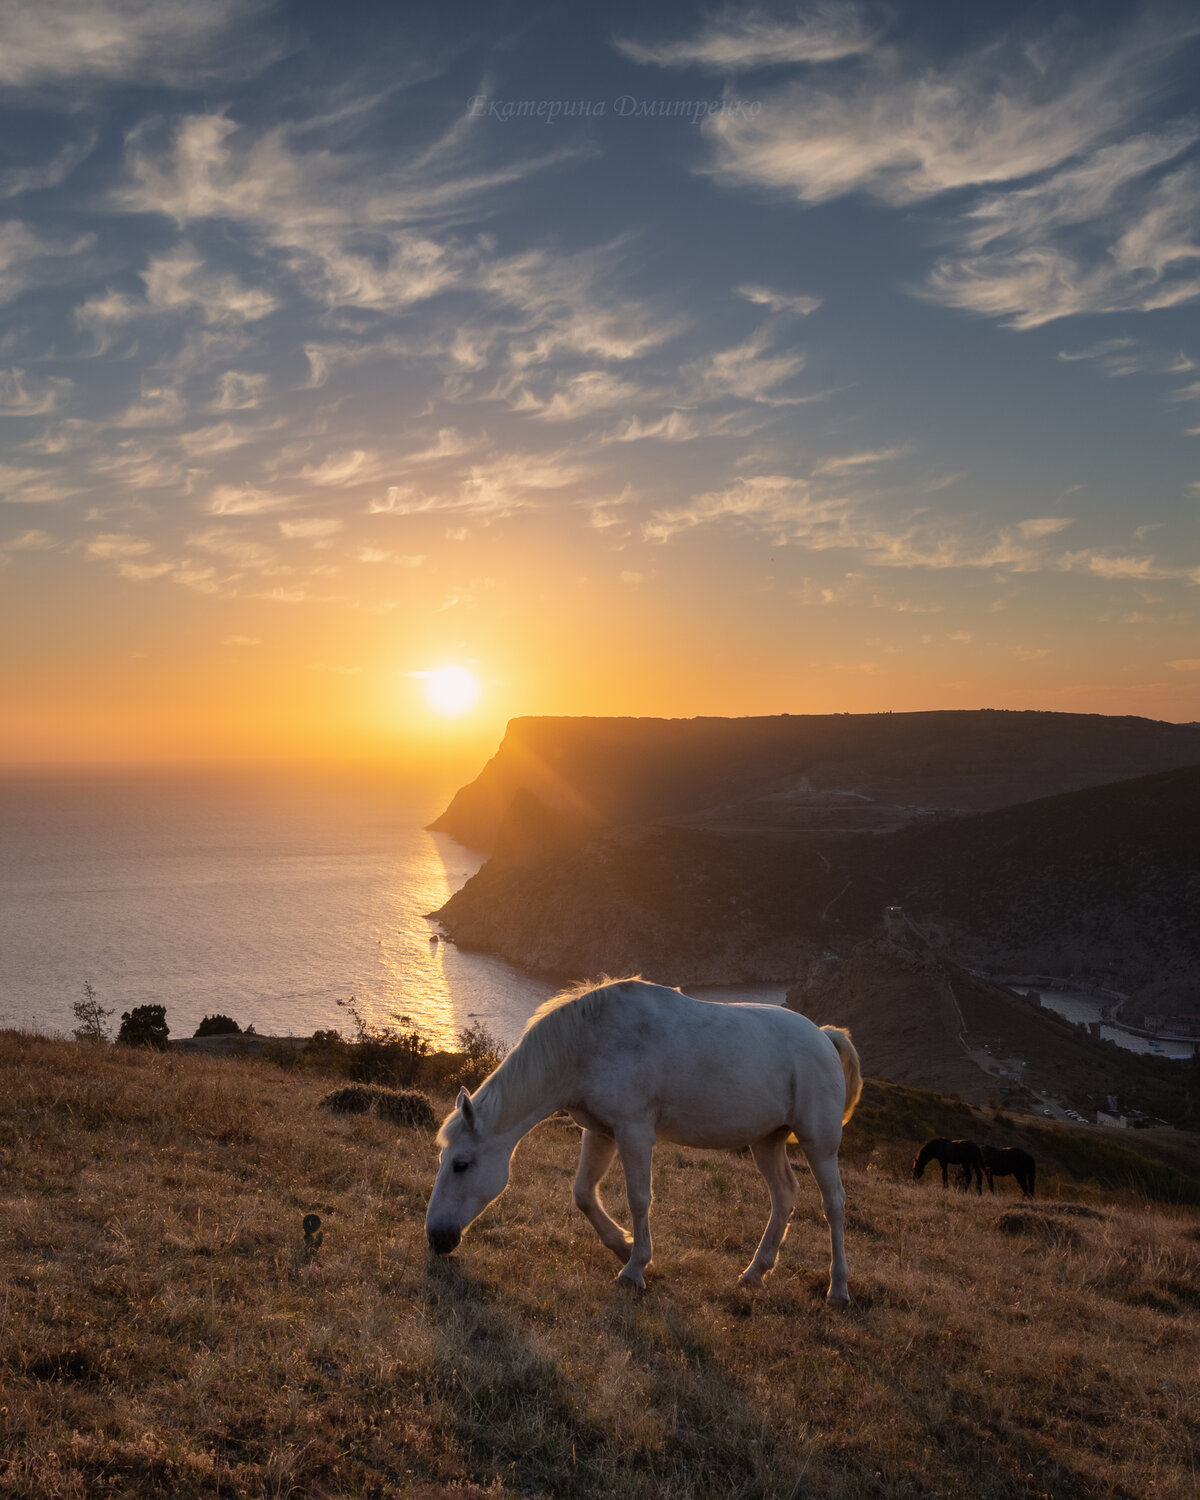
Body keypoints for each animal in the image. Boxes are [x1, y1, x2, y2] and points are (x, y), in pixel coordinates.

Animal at [425, 978, 863, 1305]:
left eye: (461, 1164)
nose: (436, 1238)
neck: (589, 1042)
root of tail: (824, 1036)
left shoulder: (633, 1130)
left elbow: (639, 1198)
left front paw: (635, 1269)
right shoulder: (601, 1131)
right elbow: (583, 1193)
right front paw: (623, 1245)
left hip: (819, 1143)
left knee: (833, 1205)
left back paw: (838, 1289)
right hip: (767, 1141)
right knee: (784, 1197)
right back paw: (755, 1273)